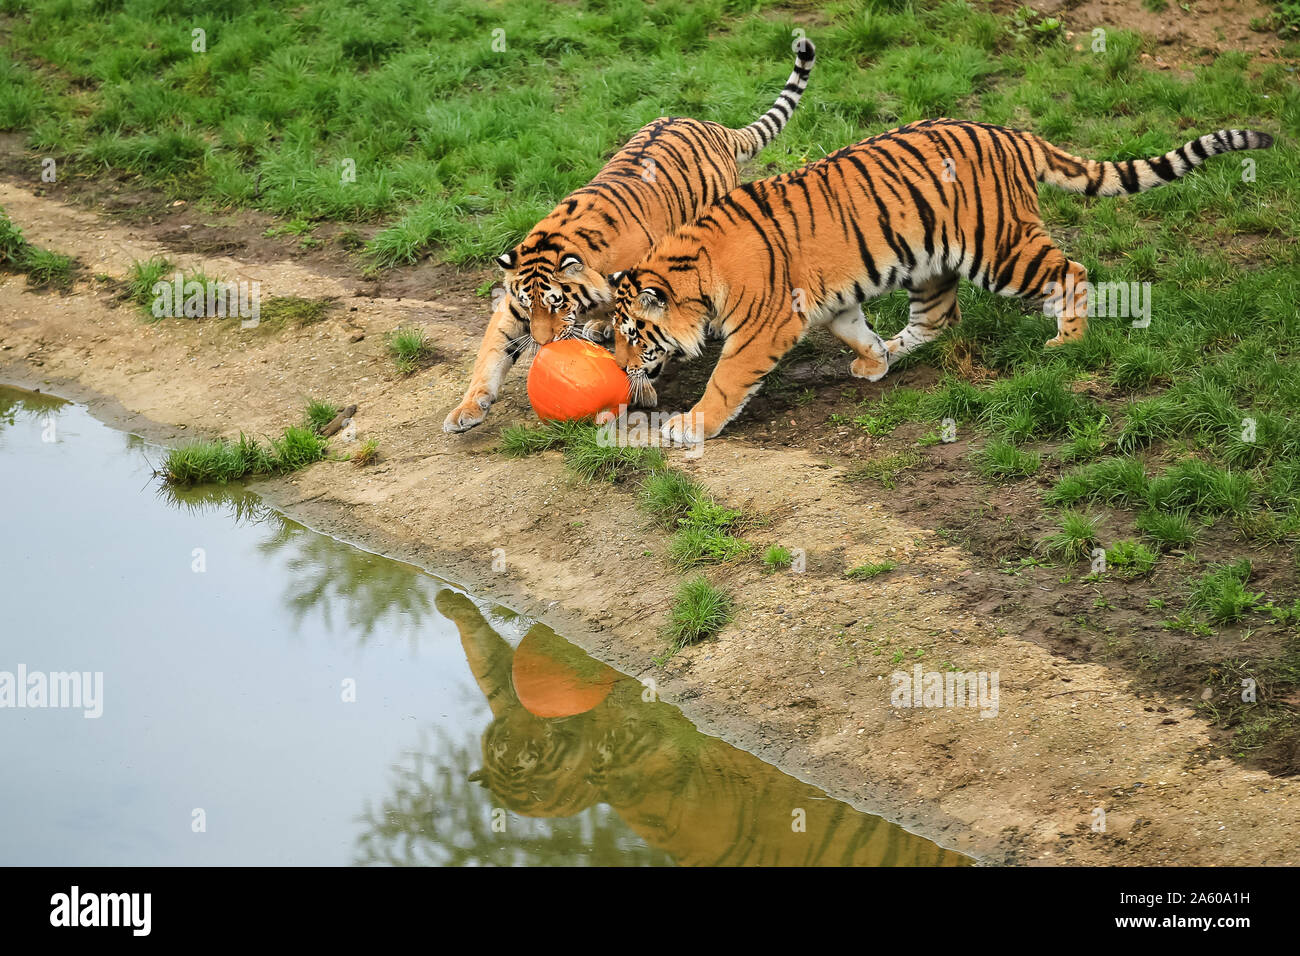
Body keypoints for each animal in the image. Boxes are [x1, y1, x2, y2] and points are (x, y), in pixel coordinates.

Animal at [441, 37, 816, 434]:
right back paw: (599, 326)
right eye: (529, 304)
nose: (542, 343)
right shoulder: (511, 306)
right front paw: (467, 408)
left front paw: (642, 391)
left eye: (557, 303)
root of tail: (712, 125)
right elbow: (491, 353)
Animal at [608, 119, 1268, 444]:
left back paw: (1068, 342)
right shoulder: (826, 301)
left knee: (1071, 271)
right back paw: (890, 355)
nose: (619, 371)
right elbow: (850, 326)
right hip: (928, 262)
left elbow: (724, 381)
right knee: (940, 319)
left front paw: (689, 425)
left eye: (633, 337)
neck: (696, 271)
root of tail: (1011, 133)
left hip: (999, 250)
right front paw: (872, 357)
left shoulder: (760, 328)